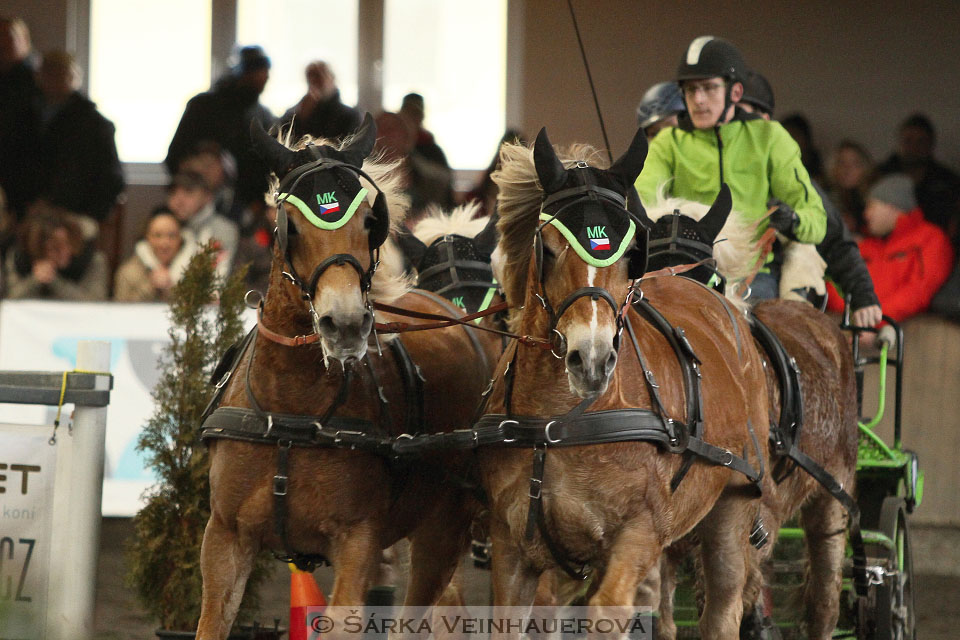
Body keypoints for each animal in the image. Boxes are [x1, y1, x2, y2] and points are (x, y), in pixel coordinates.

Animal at [199, 116, 492, 640]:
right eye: (289, 225)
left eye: (369, 223)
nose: (347, 324)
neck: (291, 411)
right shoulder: (225, 538)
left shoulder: (358, 541)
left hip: (443, 531)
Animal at [480, 127, 772, 636]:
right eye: (547, 249)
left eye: (632, 254)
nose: (592, 360)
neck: (559, 424)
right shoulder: (513, 548)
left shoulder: (640, 532)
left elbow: (608, 610)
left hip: (731, 509)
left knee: (723, 605)